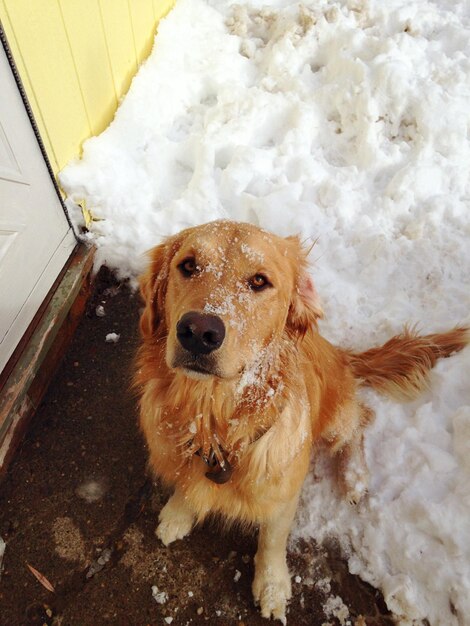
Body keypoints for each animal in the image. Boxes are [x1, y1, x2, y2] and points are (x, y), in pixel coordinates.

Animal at [134, 218, 468, 620]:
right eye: (187, 265)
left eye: (259, 281)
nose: (199, 332)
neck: (214, 421)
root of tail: (341, 354)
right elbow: (187, 485)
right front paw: (178, 514)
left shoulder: (283, 494)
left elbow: (272, 541)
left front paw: (272, 586)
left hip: (337, 418)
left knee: (361, 419)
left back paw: (354, 478)